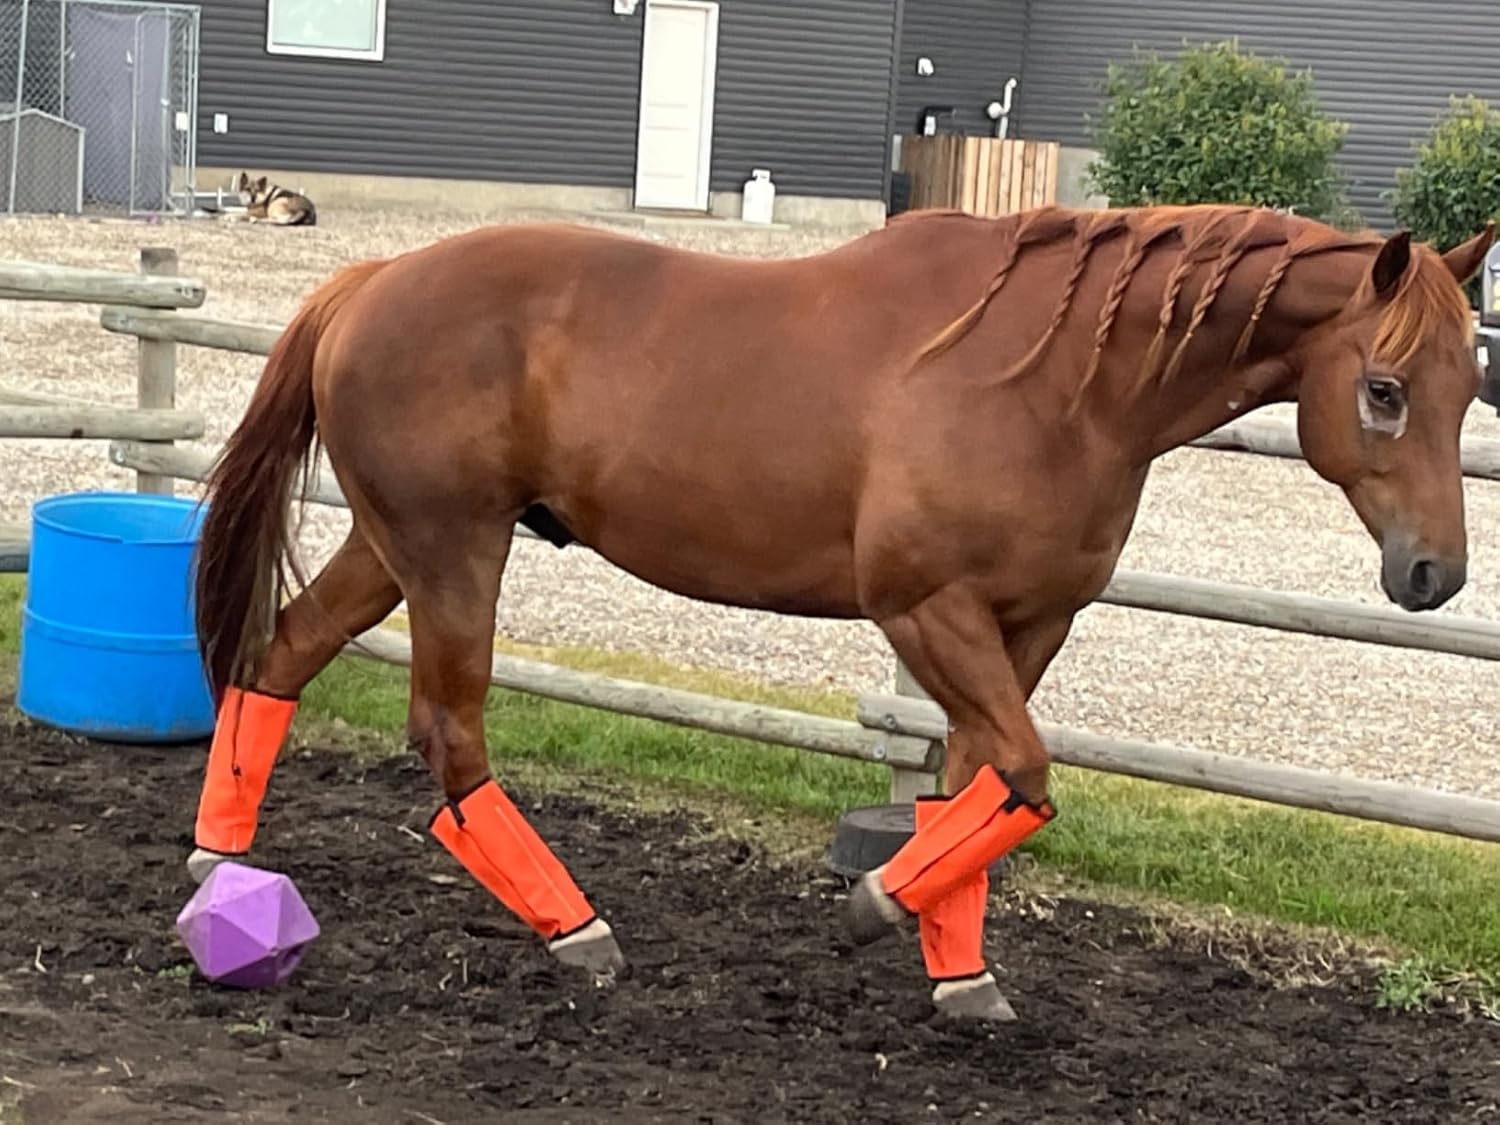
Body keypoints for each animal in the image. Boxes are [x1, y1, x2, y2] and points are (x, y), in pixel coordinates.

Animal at [184, 202, 1493, 1024]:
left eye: (1468, 386)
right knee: (449, 732)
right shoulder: (925, 612)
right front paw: (872, 909)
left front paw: (961, 980)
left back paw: (222, 865)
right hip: (454, 550)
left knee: (279, 656)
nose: (1435, 573)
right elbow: (1024, 777)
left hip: (395, 544)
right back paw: (577, 932)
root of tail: (369, 285)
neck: (1054, 381)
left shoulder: (1027, 626)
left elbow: (974, 784)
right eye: (1384, 391)